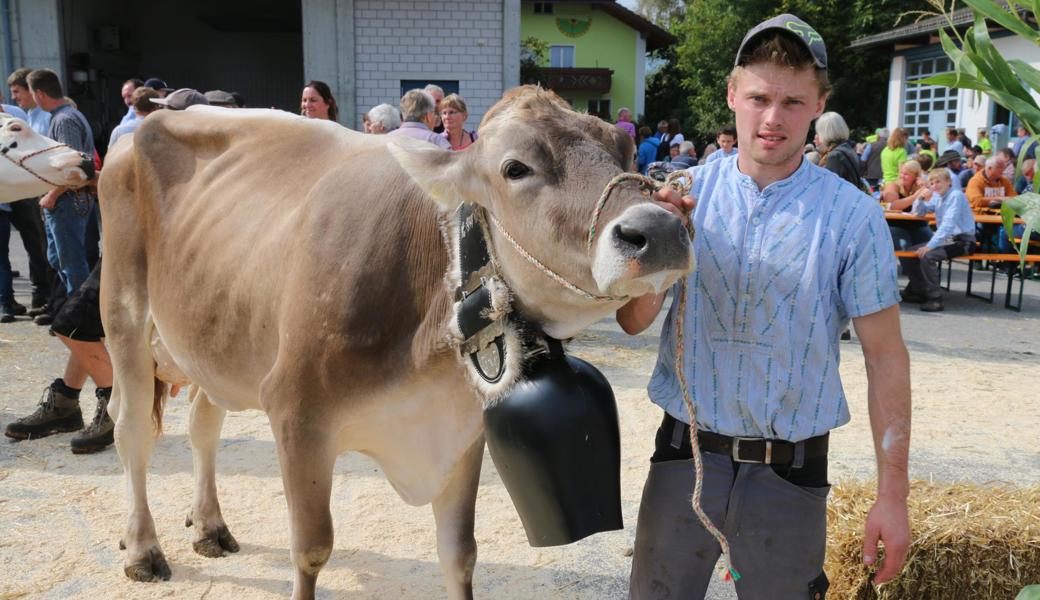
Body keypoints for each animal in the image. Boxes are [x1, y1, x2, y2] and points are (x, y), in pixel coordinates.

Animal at [101, 86, 694, 594]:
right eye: (516, 167)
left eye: (625, 150)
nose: (660, 229)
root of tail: (150, 120)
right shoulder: (294, 412)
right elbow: (311, 550)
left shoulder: (458, 432)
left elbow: (459, 553)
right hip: (123, 313)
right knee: (132, 432)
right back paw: (142, 548)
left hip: (213, 337)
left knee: (203, 423)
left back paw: (208, 526)